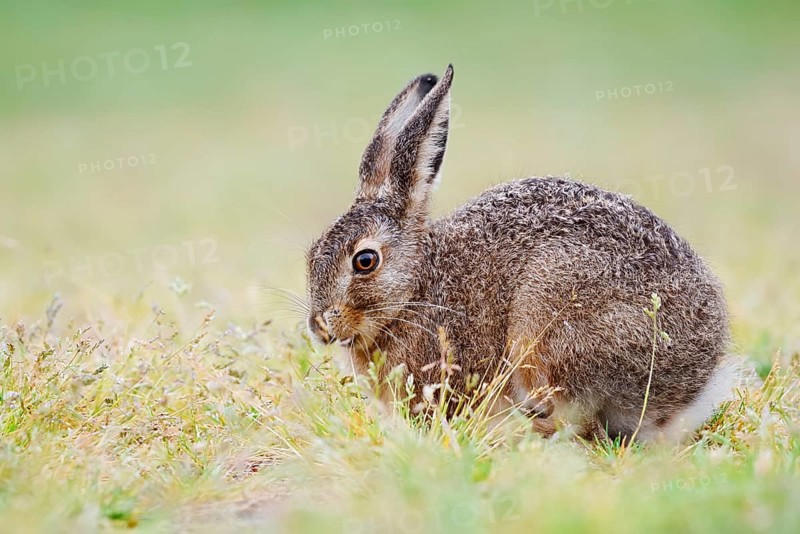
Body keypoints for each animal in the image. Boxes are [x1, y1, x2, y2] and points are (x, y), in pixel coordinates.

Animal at [305, 64, 739, 442]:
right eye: (311, 253)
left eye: (365, 261)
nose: (319, 326)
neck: (415, 291)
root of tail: (690, 387)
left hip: (548, 323)